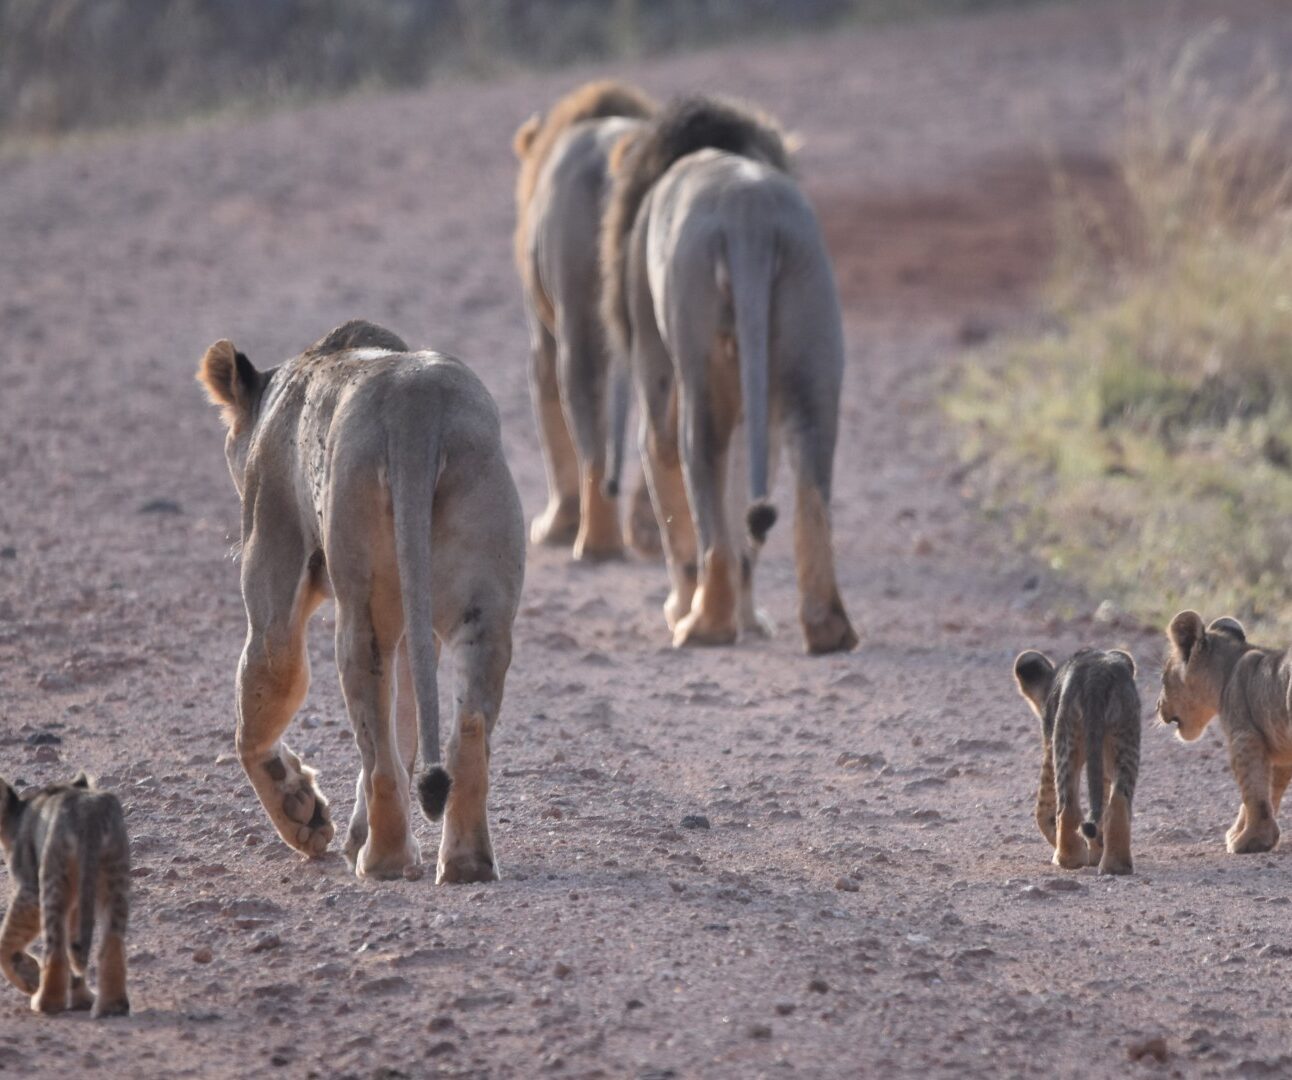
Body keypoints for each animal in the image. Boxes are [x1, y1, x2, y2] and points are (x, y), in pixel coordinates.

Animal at [197, 319, 525, 883]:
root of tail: (418, 407)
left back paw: (383, 859)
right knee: (465, 729)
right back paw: (465, 864)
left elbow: (257, 712)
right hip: (483, 604)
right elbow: (408, 727)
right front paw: (339, 826)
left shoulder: (274, 571)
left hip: (360, 603)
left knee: (378, 752)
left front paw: (302, 814)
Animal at [513, 80, 660, 560]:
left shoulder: (543, 331)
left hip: (577, 318)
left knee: (588, 419)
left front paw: (554, 526)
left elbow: (549, 416)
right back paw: (648, 531)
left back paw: (596, 542)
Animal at [600, 95, 858, 653]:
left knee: (705, 501)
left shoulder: (653, 361)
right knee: (807, 496)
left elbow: (670, 494)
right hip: (810, 350)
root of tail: (750, 218)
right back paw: (828, 629)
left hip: (695, 365)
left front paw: (681, 608)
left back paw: (702, 625)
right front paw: (754, 621)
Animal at [1013, 648, 1140, 874]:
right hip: (1126, 735)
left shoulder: (1049, 744)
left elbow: (1043, 808)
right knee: (1117, 803)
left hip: (1065, 738)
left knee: (1067, 807)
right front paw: (1097, 851)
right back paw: (1116, 865)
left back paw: (1067, 858)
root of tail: (1097, 674)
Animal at [1159, 611, 1292, 854]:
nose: (1157, 706)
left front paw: (1252, 840)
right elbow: (1268, 792)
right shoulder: (1278, 746)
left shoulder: (1245, 737)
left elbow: (1253, 791)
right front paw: (1238, 833)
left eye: (1163, 678)